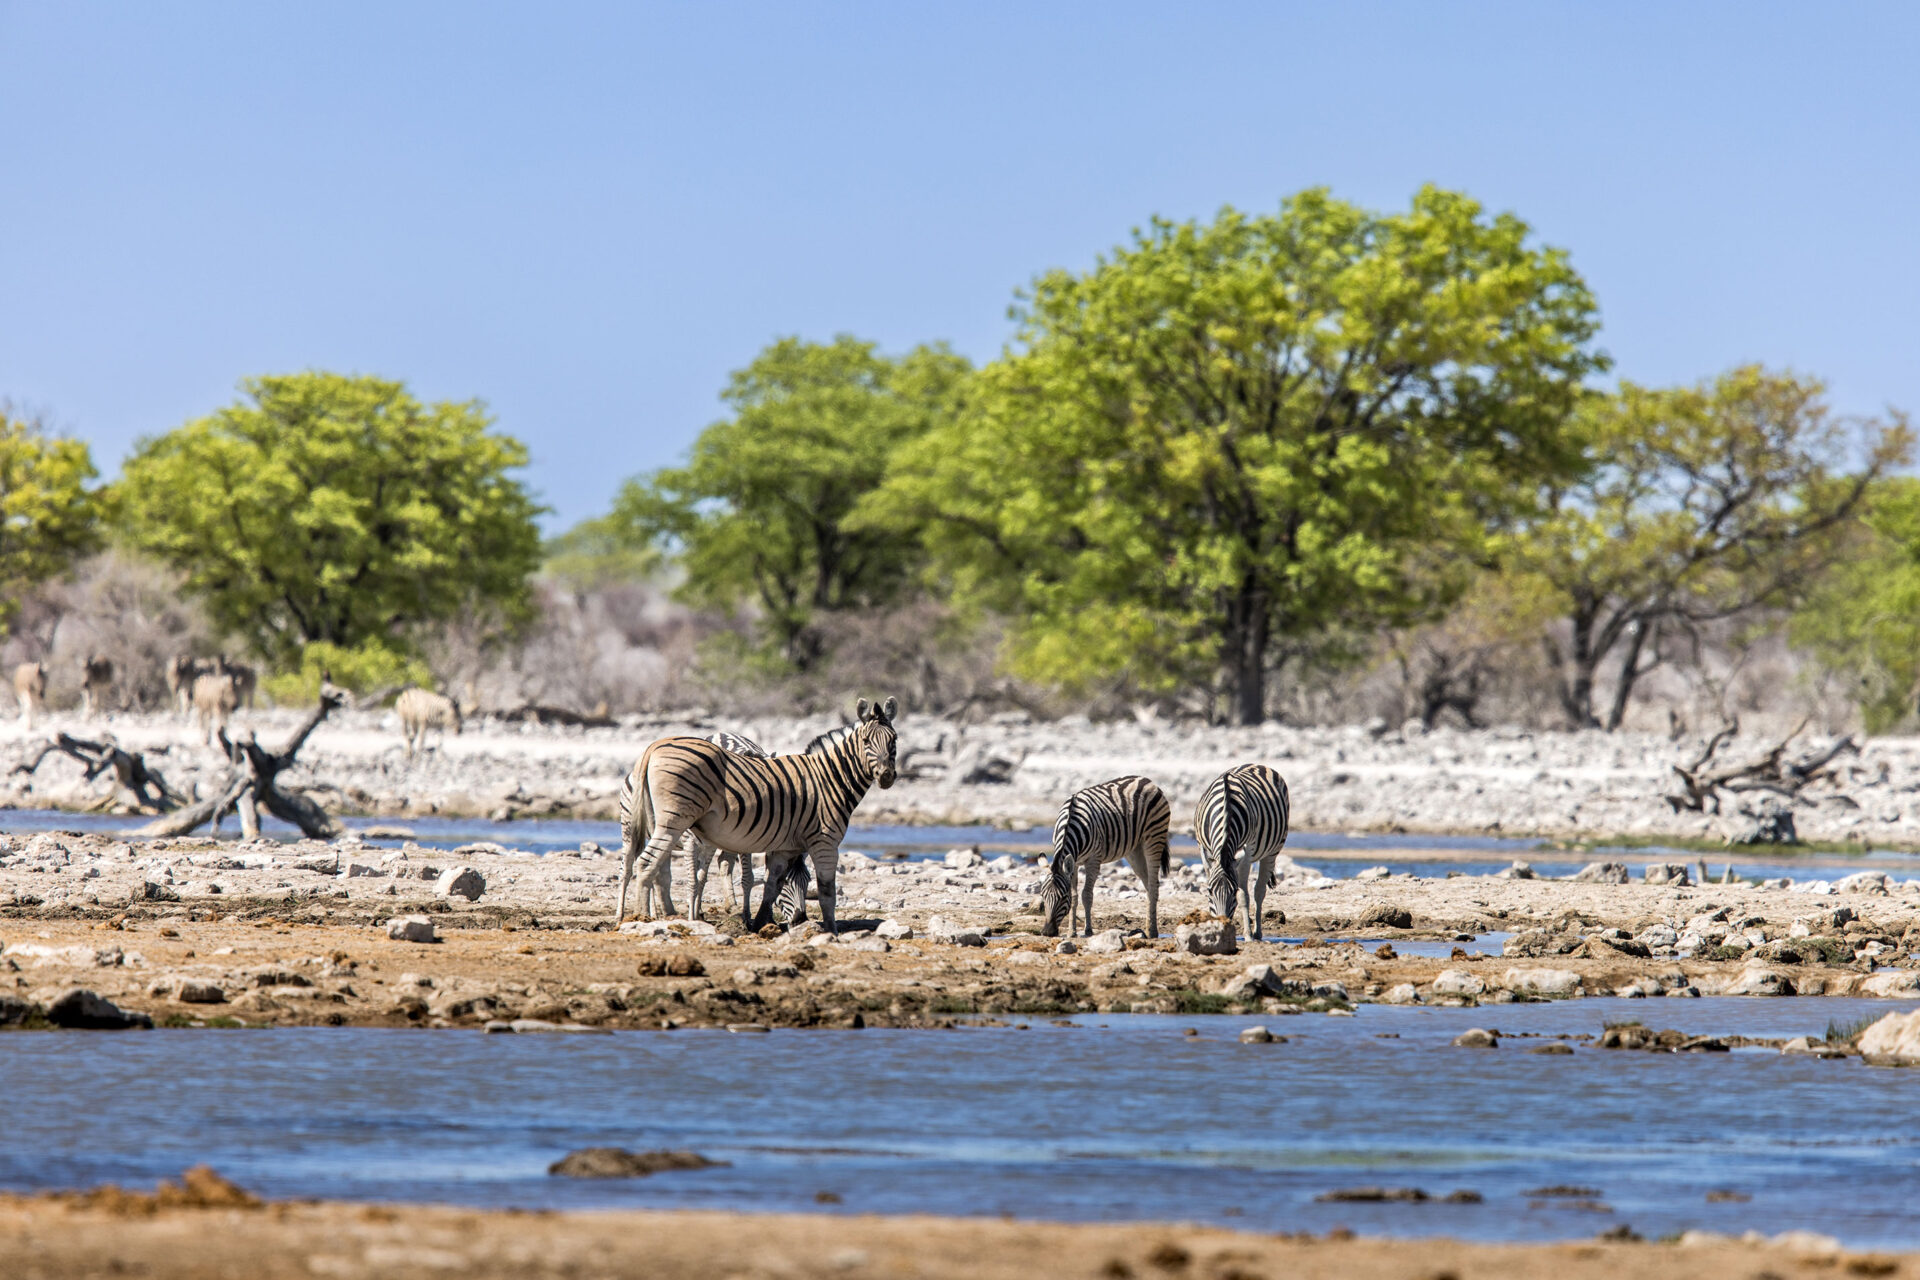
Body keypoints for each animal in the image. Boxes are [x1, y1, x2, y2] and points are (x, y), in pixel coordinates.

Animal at [614, 696, 898, 935]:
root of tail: (654, 745)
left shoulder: (785, 847)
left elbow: (772, 885)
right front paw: (832, 931)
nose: (886, 776)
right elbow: (827, 891)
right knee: (642, 864)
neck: (829, 779)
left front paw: (761, 923)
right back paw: (640, 918)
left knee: (656, 868)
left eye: (893, 740)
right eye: (866, 742)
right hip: (671, 820)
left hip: (659, 822)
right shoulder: (825, 841)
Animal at [1039, 775, 1171, 938]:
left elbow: (1086, 895)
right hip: (1135, 850)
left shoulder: (1094, 860)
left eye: (1063, 897)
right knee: (1148, 885)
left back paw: (1152, 932)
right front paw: (1072, 932)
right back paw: (1148, 928)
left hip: (1154, 839)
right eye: (1042, 896)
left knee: (1153, 885)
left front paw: (1088, 930)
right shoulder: (1073, 862)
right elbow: (1075, 896)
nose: (1047, 932)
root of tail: (1146, 780)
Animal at [1193, 763, 1291, 942]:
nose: (1221, 926)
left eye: (1233, 892)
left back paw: (1257, 933)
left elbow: (1244, 896)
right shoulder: (1202, 848)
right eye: (1209, 891)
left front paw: (1247, 935)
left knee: (1259, 891)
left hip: (1273, 850)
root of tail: (1258, 764)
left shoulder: (1247, 852)